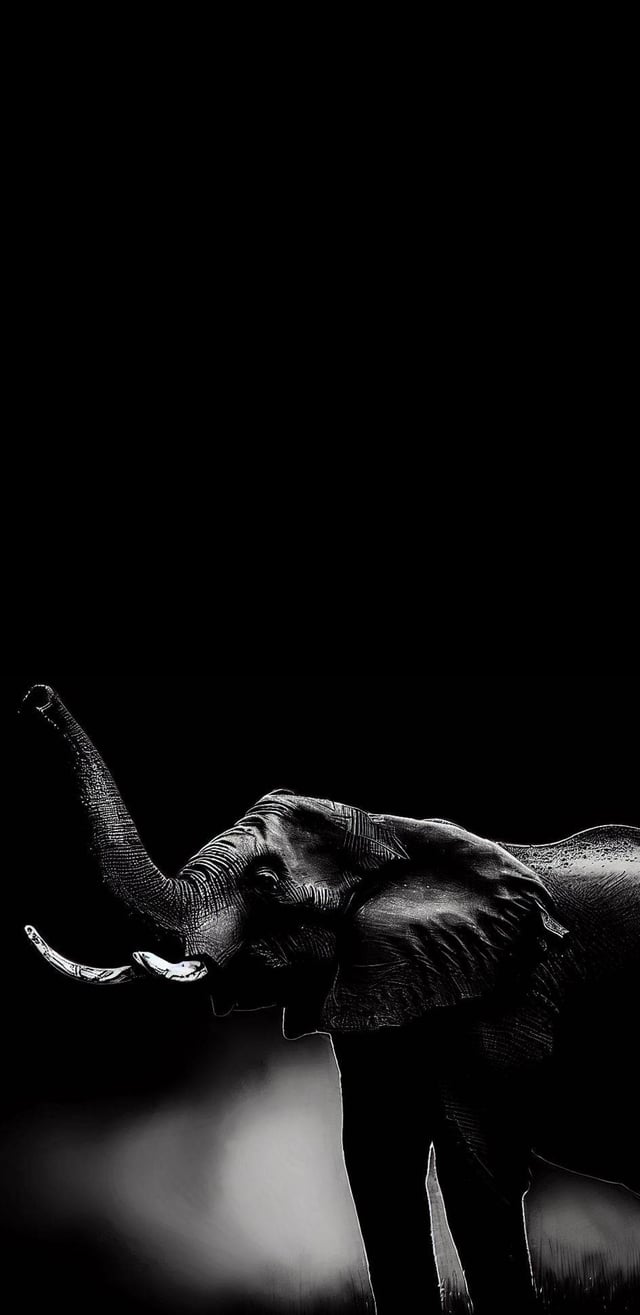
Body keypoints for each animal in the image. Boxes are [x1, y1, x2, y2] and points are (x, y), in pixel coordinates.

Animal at [20, 685, 640, 1314]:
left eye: (266, 881)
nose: (36, 697)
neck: (395, 832)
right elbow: (377, 1158)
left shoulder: (508, 991)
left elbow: (475, 1165)